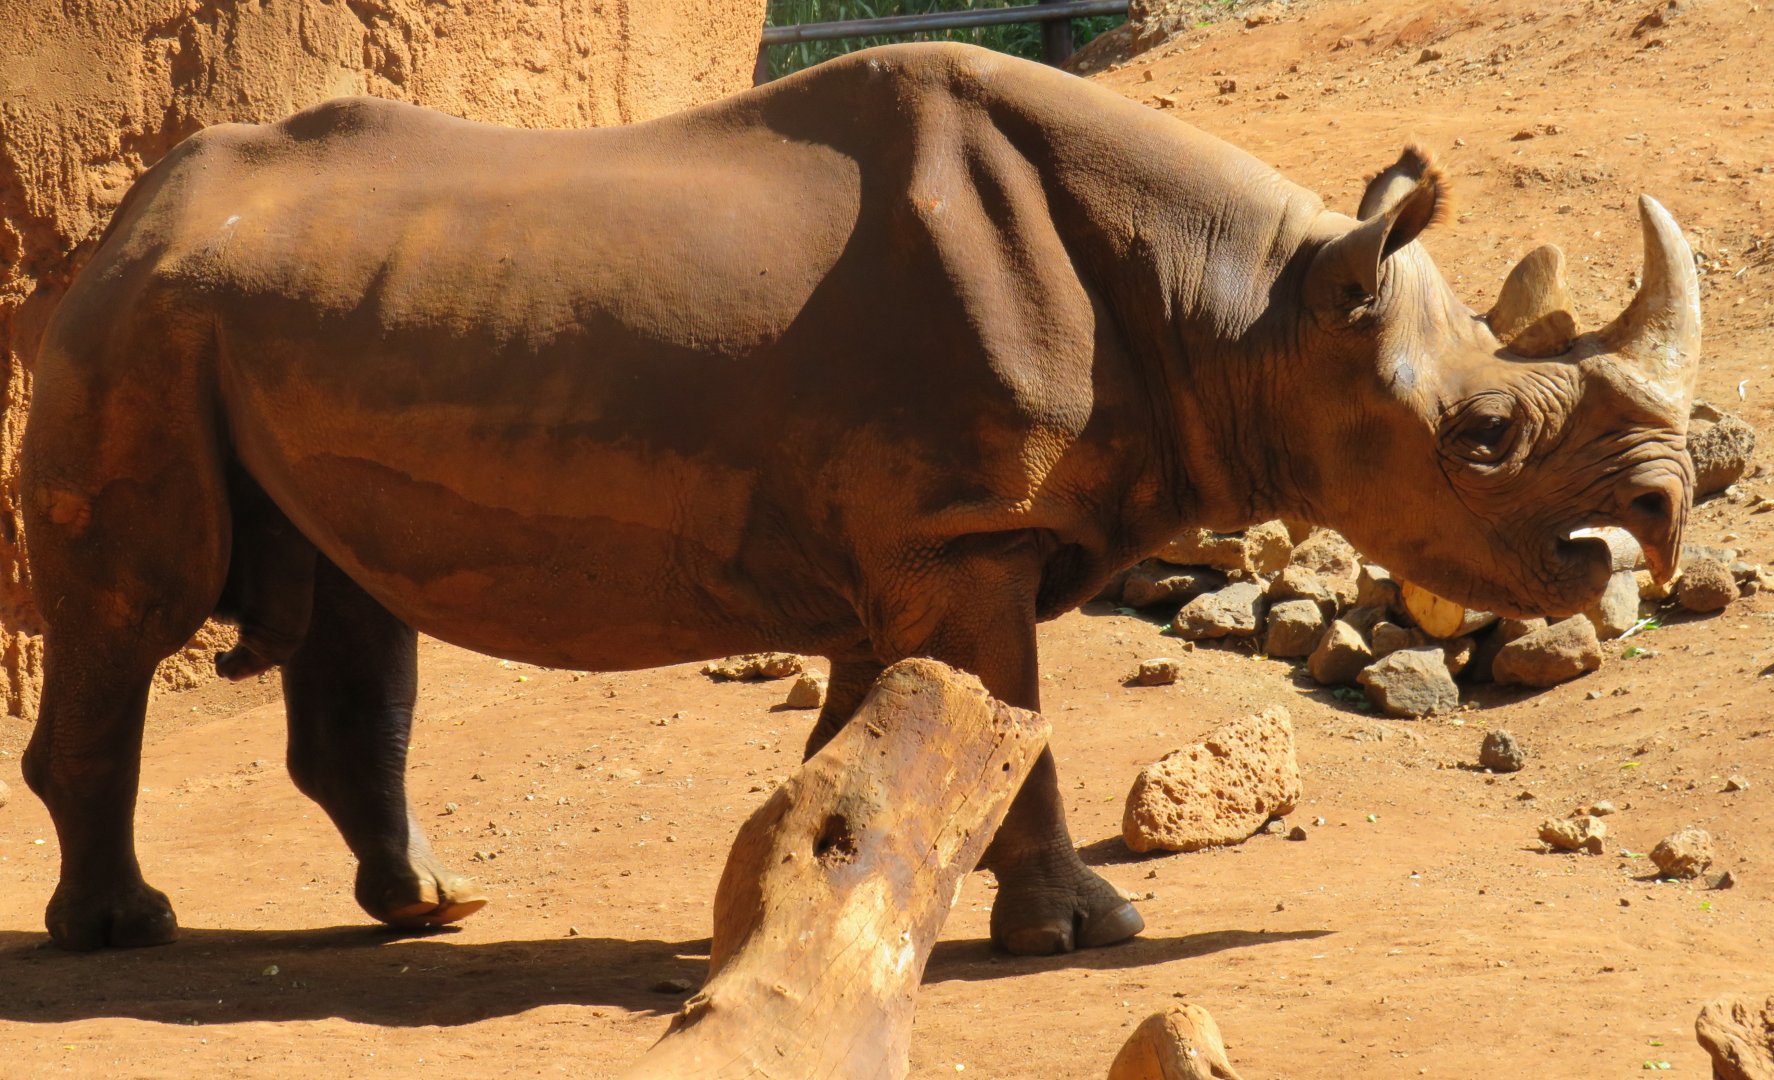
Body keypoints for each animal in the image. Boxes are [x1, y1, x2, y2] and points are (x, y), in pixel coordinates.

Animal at [19, 42, 1699, 955]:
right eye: (1481, 435)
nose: (1653, 521)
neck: (1249, 309)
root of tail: (130, 213)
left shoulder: (906, 546)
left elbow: (879, 733)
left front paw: (806, 890)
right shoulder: (965, 531)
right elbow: (1011, 725)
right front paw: (1082, 934)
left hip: (261, 312)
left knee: (352, 601)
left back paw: (433, 905)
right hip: (139, 326)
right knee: (139, 605)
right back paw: (125, 931)